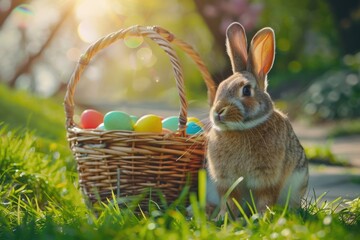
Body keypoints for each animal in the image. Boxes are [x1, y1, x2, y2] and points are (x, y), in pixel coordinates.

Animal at [207, 21, 308, 218]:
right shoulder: (225, 179)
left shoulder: (267, 178)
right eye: (220, 87)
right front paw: (224, 217)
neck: (241, 129)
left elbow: (265, 198)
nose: (218, 112)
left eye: (246, 90)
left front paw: (263, 216)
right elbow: (230, 199)